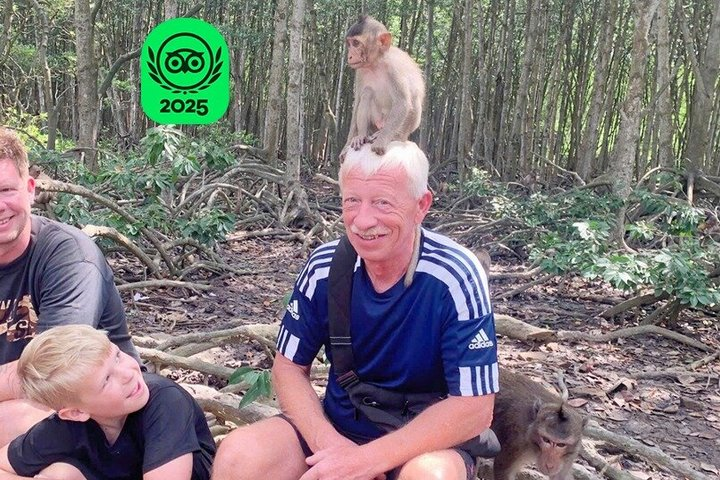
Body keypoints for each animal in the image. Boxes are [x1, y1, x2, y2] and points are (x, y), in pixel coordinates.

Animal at [342, 15, 425, 159]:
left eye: (356, 43)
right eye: (349, 43)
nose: (350, 56)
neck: (376, 64)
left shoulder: (394, 68)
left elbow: (402, 102)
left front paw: (381, 140)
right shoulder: (360, 71)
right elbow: (357, 101)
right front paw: (346, 147)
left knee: (413, 97)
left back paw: (394, 136)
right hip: (375, 122)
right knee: (367, 92)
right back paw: (361, 136)